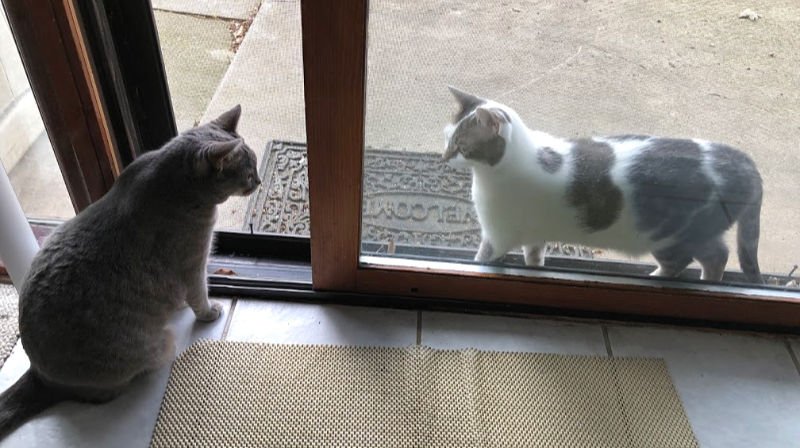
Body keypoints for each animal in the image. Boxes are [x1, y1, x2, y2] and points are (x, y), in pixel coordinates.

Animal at [0, 103, 260, 436]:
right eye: (249, 171)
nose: (259, 182)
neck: (173, 183)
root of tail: (38, 374)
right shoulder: (193, 261)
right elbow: (198, 292)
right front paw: (209, 311)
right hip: (159, 345)